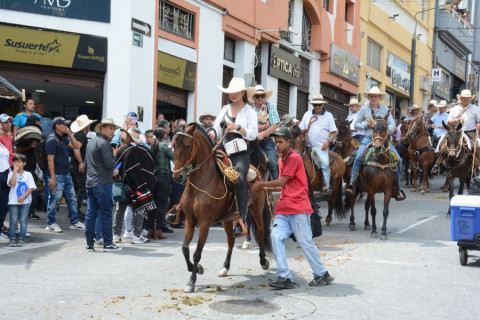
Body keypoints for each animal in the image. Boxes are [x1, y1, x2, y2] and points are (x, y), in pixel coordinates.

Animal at [172, 124, 272, 294]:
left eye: (186, 146)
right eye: (173, 145)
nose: (177, 176)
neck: (202, 182)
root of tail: (257, 171)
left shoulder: (204, 223)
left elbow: (197, 253)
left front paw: (192, 280)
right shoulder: (190, 221)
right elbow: (185, 249)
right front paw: (197, 269)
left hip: (256, 210)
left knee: (260, 232)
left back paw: (263, 260)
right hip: (228, 219)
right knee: (231, 241)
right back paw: (225, 267)